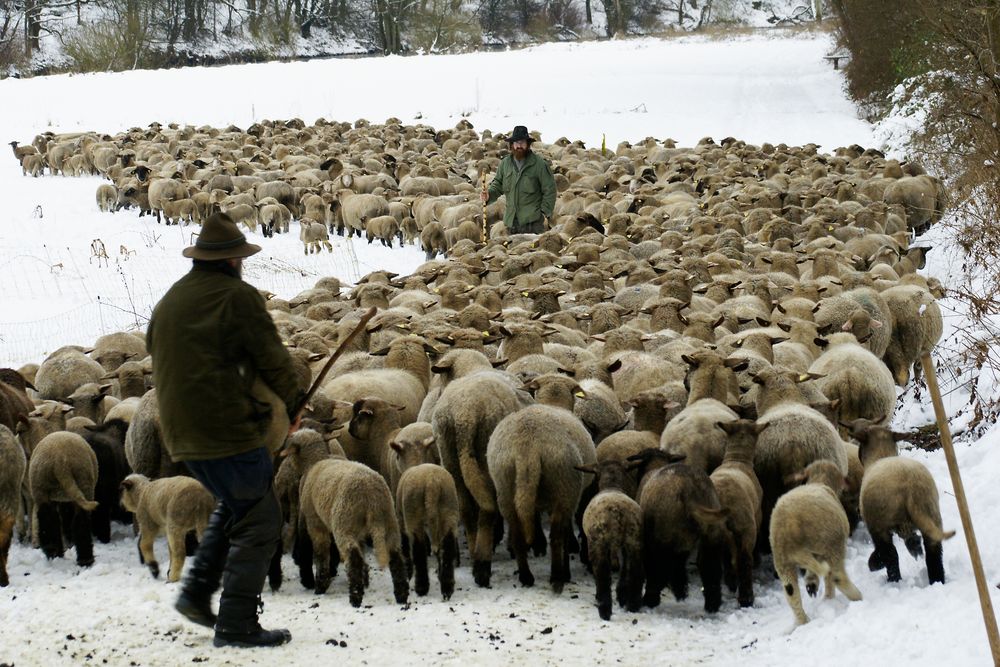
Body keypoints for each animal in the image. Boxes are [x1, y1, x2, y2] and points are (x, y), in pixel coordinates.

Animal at [27, 430, 98, 568]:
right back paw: (84, 559)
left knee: (48, 518)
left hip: (42, 485)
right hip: (83, 481)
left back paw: (54, 552)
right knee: (79, 519)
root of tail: (60, 460)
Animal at [396, 464, 462, 600]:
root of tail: (432, 483)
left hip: (414, 513)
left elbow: (404, 545)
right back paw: (447, 588)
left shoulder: (401, 519)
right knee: (447, 547)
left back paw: (421, 588)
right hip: (449, 508)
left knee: (419, 551)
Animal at [576, 460, 644, 620]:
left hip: (598, 541)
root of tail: (618, 512)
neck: (612, 485)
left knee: (602, 576)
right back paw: (632, 605)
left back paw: (604, 610)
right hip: (634, 540)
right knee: (635, 572)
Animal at [768, 460, 864, 628]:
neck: (820, 480)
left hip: (781, 560)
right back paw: (856, 597)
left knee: (791, 593)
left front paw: (811, 583)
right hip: (832, 544)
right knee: (836, 576)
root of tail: (791, 527)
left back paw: (803, 622)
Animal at [848, 422, 956, 584]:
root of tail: (911, 488)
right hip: (932, 515)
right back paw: (936, 581)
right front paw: (915, 547)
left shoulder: (878, 526)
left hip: (880, 524)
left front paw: (875, 564)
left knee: (891, 554)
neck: (881, 455)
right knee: (934, 555)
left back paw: (890, 577)